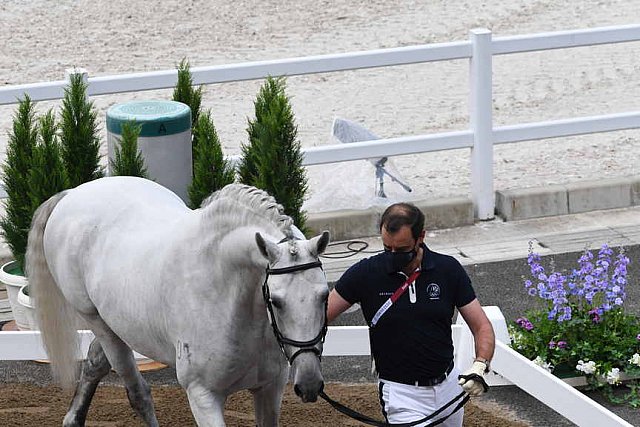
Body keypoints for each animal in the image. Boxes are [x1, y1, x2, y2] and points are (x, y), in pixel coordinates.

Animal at [26, 176, 330, 426]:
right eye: (276, 301)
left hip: (116, 326)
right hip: (98, 322)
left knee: (95, 362)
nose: (309, 384)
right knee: (137, 393)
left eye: (325, 295)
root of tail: (73, 193)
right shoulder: (203, 396)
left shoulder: (269, 389)